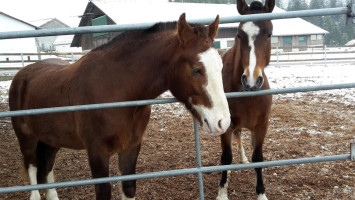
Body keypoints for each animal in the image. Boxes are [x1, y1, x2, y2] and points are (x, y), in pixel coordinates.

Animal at [9, 13, 231, 199]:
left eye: (221, 66)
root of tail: (21, 75)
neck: (116, 90)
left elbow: (128, 188)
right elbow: (103, 192)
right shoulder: (97, 152)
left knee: (46, 168)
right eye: (196, 69)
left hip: (51, 140)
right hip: (27, 139)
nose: (222, 122)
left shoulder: (131, 147)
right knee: (32, 170)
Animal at [217, 0, 276, 200]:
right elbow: (226, 157)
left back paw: (243, 159)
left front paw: (261, 193)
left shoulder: (261, 126)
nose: (251, 81)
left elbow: (258, 158)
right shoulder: (226, 126)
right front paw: (222, 193)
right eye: (239, 35)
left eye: (269, 34)